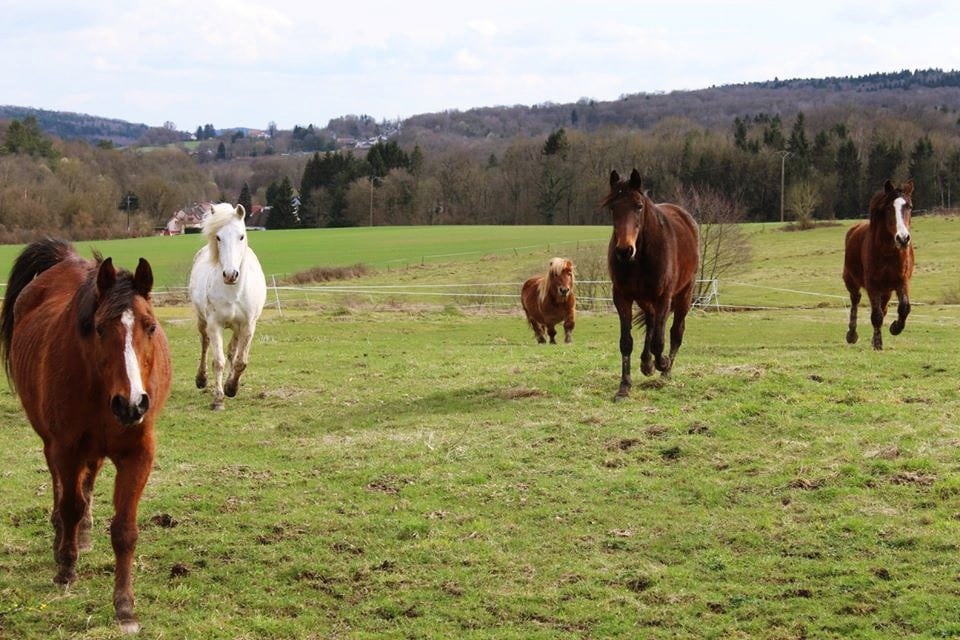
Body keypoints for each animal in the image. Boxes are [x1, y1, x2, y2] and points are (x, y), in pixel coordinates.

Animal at [0, 238, 172, 632]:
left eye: (150, 326)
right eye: (99, 328)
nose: (132, 403)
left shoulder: (138, 455)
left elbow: (124, 530)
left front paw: (125, 606)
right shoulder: (66, 448)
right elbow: (71, 504)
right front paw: (66, 567)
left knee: (89, 482)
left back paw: (84, 533)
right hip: (52, 443)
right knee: (62, 489)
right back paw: (62, 537)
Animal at [188, 202, 266, 408]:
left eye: (241, 236)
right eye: (218, 237)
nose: (230, 275)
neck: (233, 292)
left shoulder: (247, 326)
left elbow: (240, 361)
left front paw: (231, 387)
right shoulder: (215, 325)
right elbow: (218, 361)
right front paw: (218, 399)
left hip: (237, 328)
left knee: (232, 352)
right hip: (202, 321)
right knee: (205, 344)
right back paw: (201, 379)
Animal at [608, 170, 696, 400]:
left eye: (639, 206)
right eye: (612, 207)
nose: (624, 250)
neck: (640, 257)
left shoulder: (663, 296)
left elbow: (659, 340)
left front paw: (662, 363)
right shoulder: (622, 297)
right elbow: (626, 342)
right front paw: (624, 386)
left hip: (684, 294)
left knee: (675, 332)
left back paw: (665, 372)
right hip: (645, 300)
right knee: (651, 321)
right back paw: (647, 364)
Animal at [840, 179, 916, 350]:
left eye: (909, 206)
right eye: (888, 208)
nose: (903, 238)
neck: (888, 252)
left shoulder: (901, 281)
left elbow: (904, 308)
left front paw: (895, 328)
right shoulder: (872, 284)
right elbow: (876, 315)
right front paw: (878, 344)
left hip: (886, 290)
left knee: (884, 308)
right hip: (851, 281)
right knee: (855, 301)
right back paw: (851, 335)